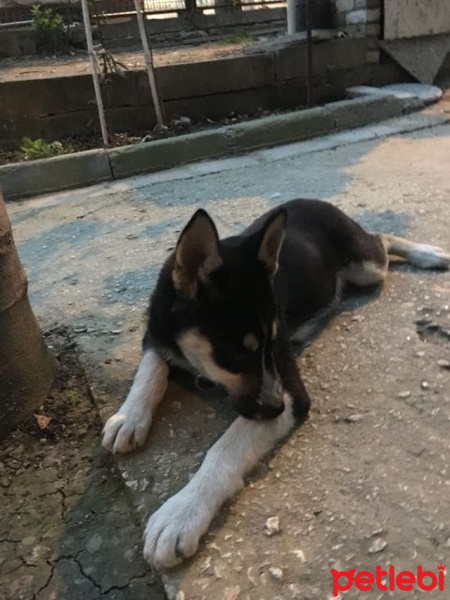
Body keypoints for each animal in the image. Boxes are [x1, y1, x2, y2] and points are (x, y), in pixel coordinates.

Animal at [102, 199, 450, 568]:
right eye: (235, 355)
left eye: (269, 345)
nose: (276, 407)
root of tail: (311, 200)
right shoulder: (156, 336)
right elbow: (151, 370)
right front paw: (128, 417)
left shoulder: (290, 391)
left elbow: (226, 448)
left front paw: (182, 512)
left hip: (366, 266)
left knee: (381, 239)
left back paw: (428, 254)